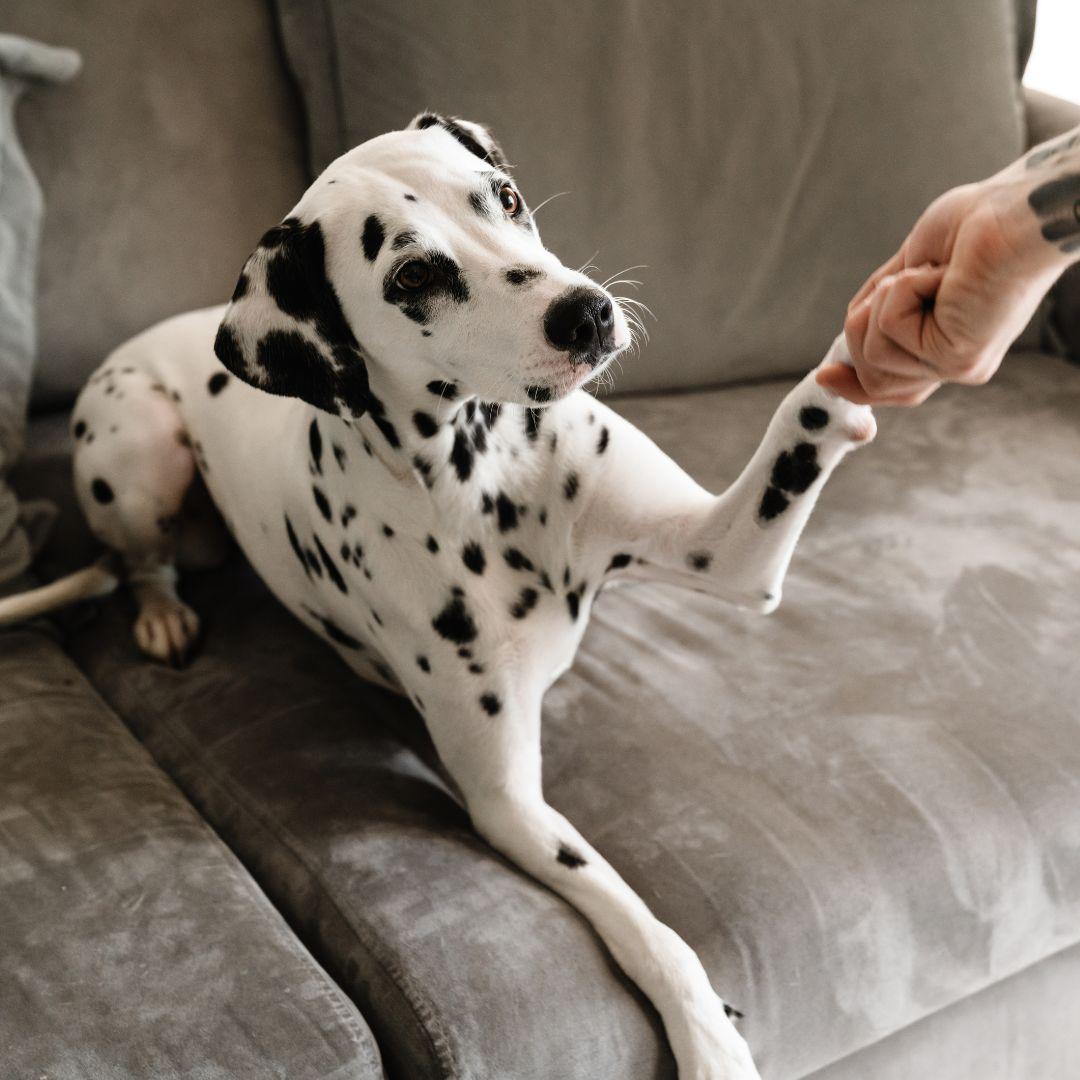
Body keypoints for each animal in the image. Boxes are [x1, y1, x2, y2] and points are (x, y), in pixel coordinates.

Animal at [2, 113, 876, 1075]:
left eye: (504, 197)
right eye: (413, 276)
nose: (587, 311)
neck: (486, 468)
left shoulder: (727, 553)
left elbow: (797, 436)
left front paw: (879, 333)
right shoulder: (508, 804)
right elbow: (646, 928)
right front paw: (709, 1038)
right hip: (137, 446)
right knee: (141, 559)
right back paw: (160, 614)